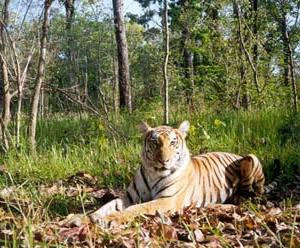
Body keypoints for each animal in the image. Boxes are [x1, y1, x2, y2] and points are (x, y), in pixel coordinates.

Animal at [88, 121, 268, 224]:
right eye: (155, 143)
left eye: (173, 143)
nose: (164, 161)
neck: (154, 173)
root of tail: (234, 154)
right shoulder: (130, 197)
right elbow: (108, 205)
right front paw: (88, 217)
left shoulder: (167, 200)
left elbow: (136, 209)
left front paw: (109, 219)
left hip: (251, 159)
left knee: (253, 193)